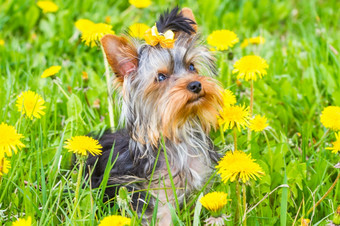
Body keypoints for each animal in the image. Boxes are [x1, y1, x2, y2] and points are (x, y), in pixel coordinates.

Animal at [85, 6, 223, 224]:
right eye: (161, 77)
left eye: (192, 66)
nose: (196, 85)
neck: (177, 132)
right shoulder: (156, 192)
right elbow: (162, 215)